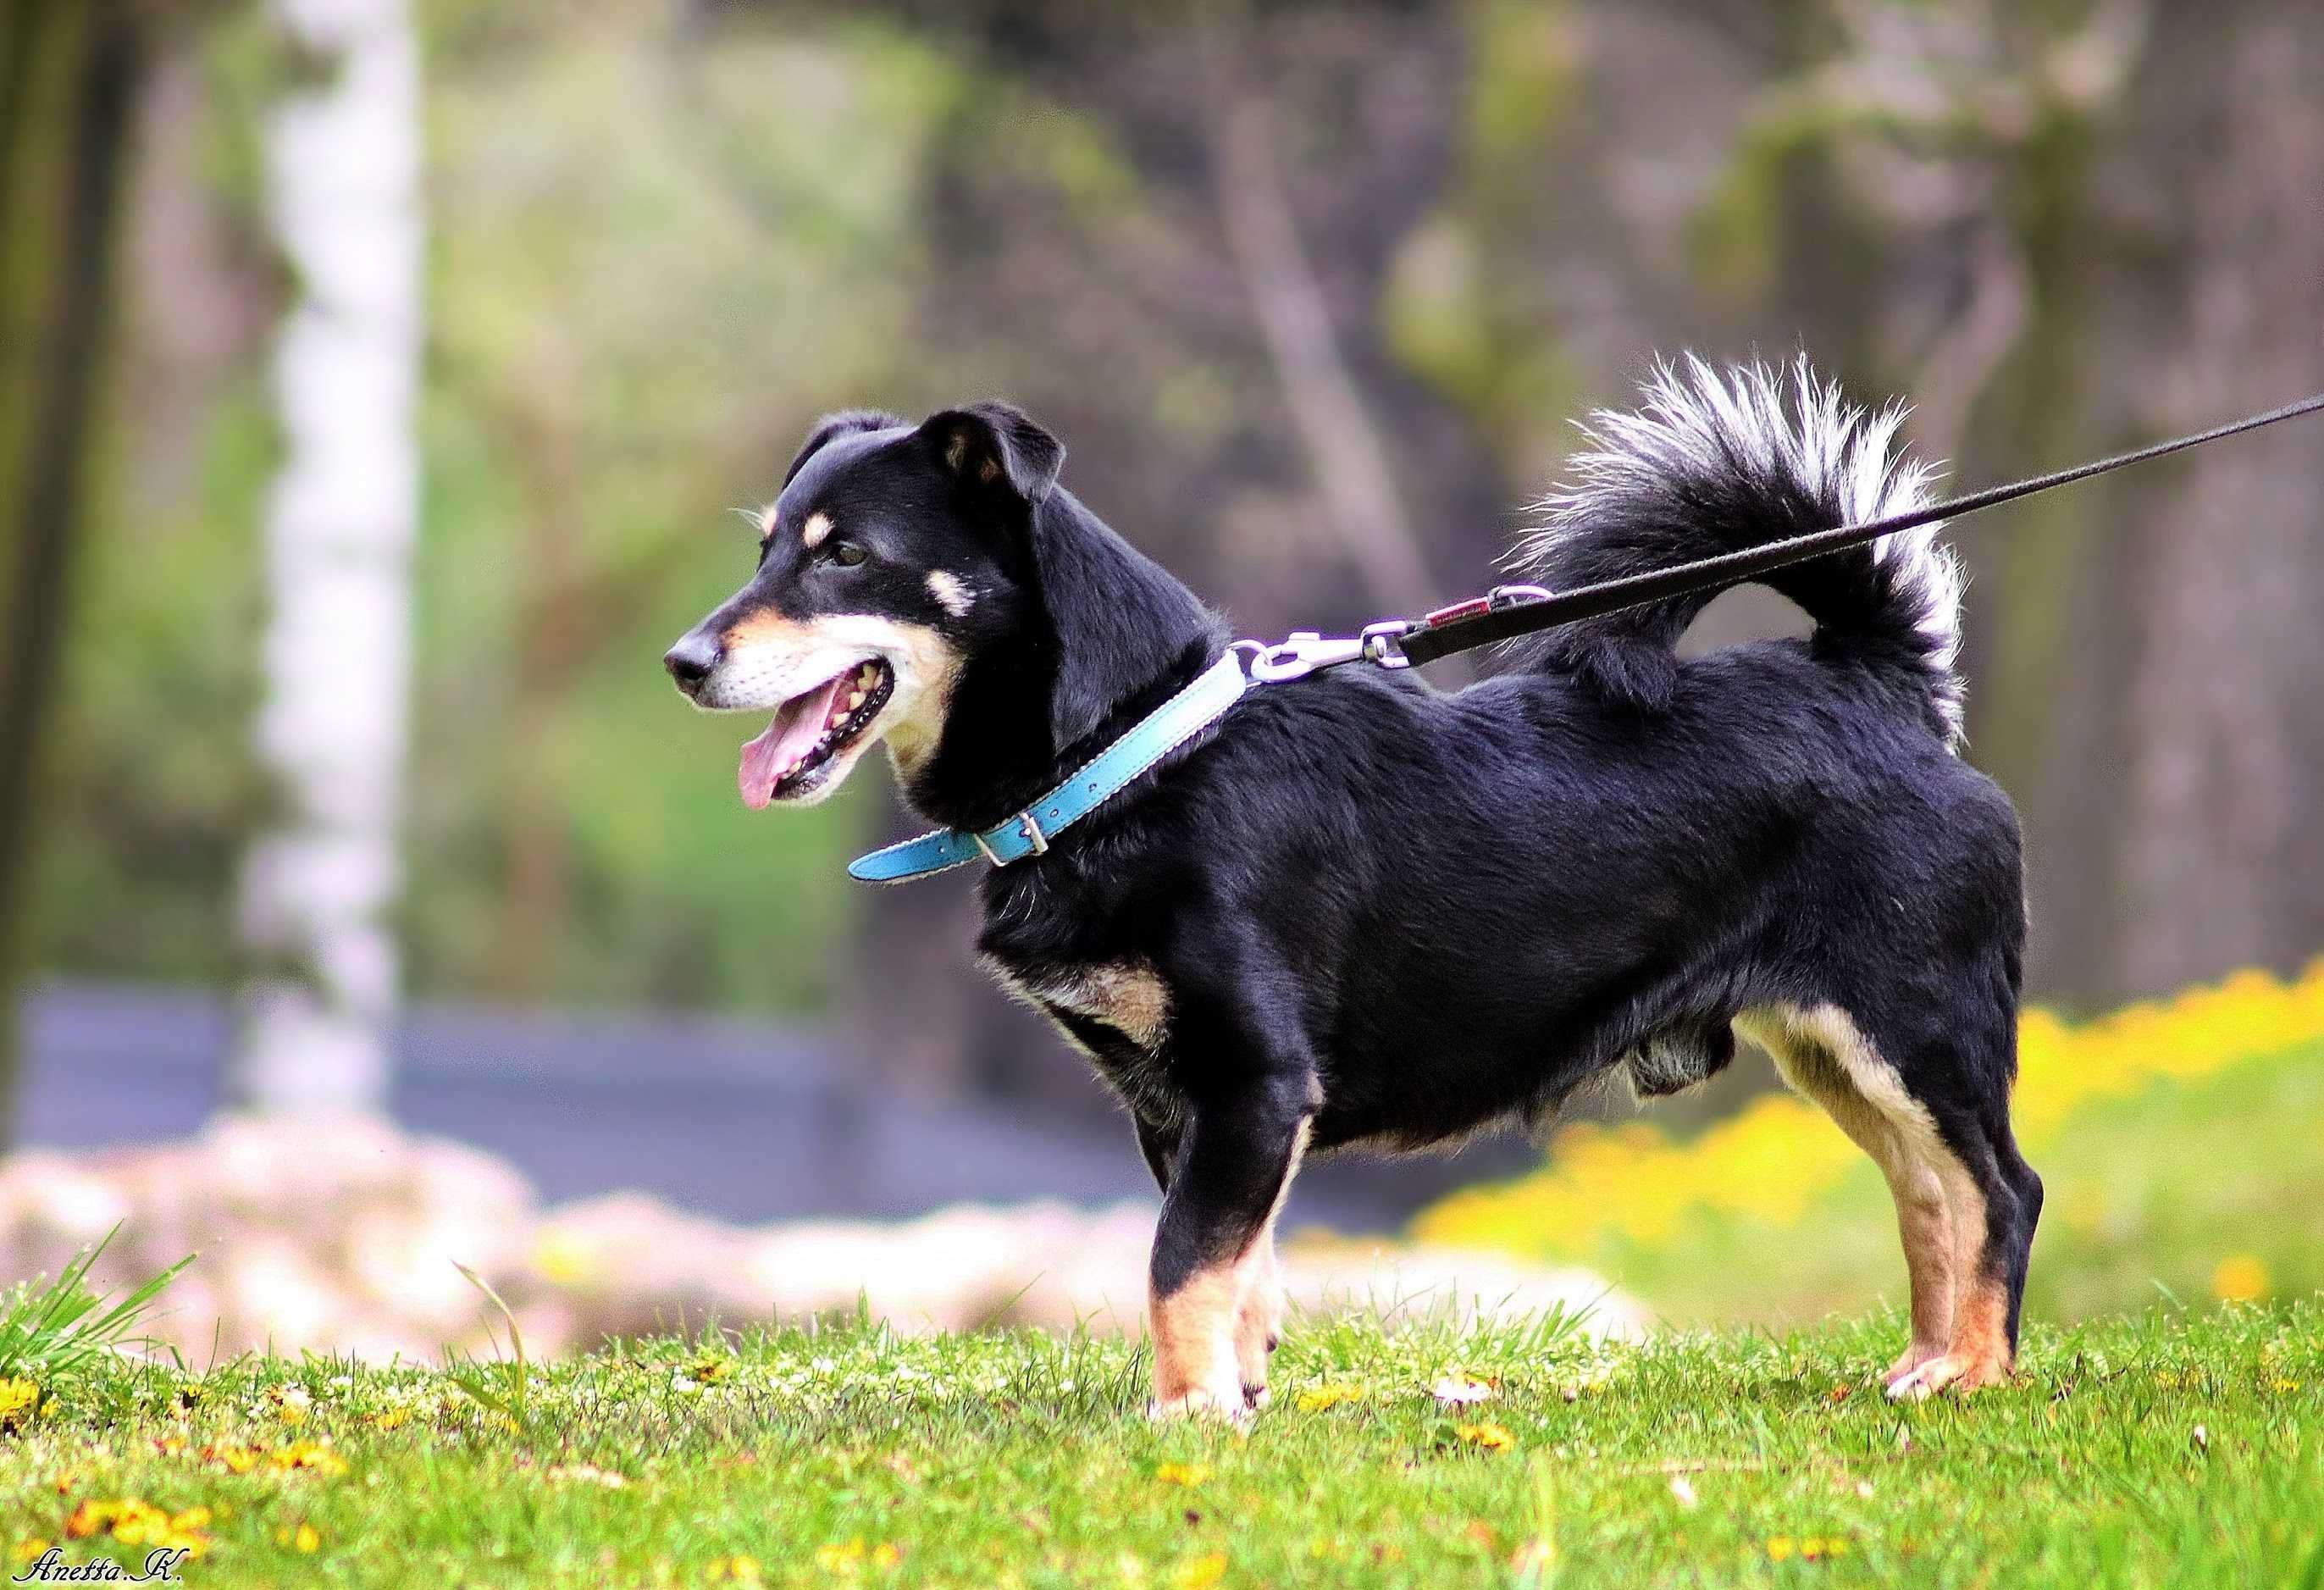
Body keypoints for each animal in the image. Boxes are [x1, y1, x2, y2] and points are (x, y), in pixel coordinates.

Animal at [669, 357, 2035, 1413]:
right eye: (766, 549)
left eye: (848, 557)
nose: (683, 661)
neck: (1134, 757)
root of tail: (1876, 681)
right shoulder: (1185, 1107)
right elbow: (1240, 1269)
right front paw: (1235, 1394)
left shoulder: (1254, 1079)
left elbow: (1177, 1263)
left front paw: (1184, 1414)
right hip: (1837, 1047)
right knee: (1930, 1199)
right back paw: (1922, 1363)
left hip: (1914, 1027)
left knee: (2000, 1190)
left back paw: (1974, 1374)